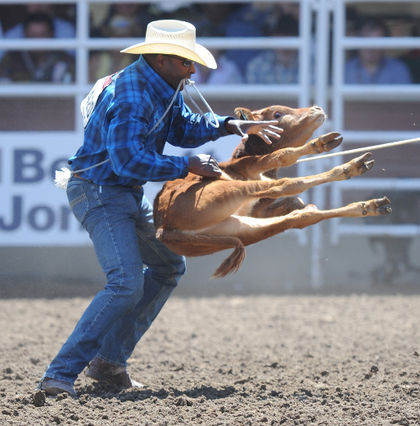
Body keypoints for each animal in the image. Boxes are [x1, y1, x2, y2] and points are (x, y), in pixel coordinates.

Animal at [153, 103, 390, 276]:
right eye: (277, 113)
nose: (316, 108)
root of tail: (164, 228)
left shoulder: (254, 208)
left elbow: (291, 194)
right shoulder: (252, 165)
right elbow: (284, 155)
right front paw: (320, 143)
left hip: (239, 228)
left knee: (300, 218)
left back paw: (370, 205)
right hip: (231, 192)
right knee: (286, 185)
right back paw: (352, 168)